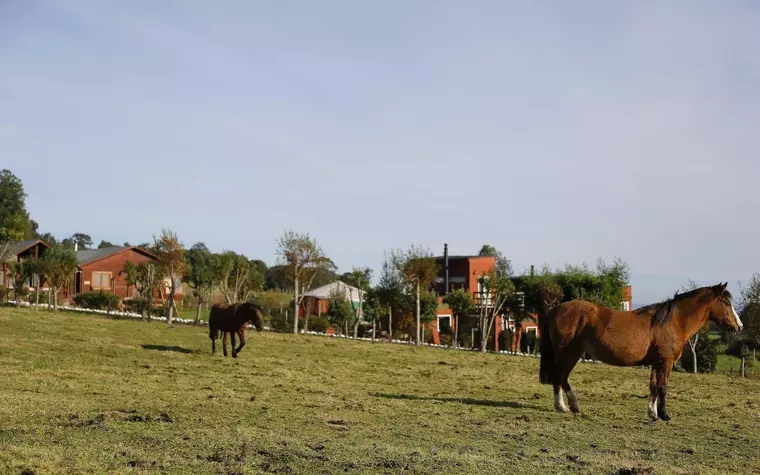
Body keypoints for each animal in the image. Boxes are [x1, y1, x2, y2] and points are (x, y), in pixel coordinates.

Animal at [540, 282, 744, 420]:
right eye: (726, 302)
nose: (739, 326)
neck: (672, 322)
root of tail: (555, 310)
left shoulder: (656, 362)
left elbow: (653, 387)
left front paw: (652, 414)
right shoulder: (665, 362)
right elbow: (663, 387)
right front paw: (664, 415)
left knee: (560, 377)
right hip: (568, 353)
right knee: (560, 377)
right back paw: (566, 406)